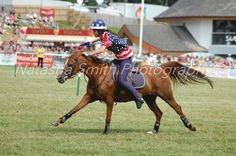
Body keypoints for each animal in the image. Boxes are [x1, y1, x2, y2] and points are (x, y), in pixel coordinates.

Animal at [53, 51, 214, 134]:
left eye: (71, 63)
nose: (59, 78)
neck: (98, 75)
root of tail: (161, 68)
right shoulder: (88, 97)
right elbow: (74, 109)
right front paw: (59, 120)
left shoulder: (109, 100)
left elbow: (108, 117)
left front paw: (106, 131)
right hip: (150, 99)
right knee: (159, 113)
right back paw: (155, 130)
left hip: (166, 96)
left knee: (178, 108)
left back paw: (190, 125)